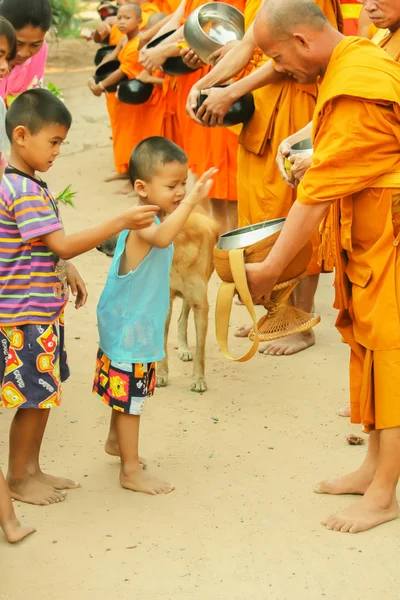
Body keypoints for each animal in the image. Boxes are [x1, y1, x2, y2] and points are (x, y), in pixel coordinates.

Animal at [97, 211, 219, 394]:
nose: (99, 246)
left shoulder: (201, 306)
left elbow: (200, 351)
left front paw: (198, 379)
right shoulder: (164, 303)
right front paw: (161, 374)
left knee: (182, 318)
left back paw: (183, 348)